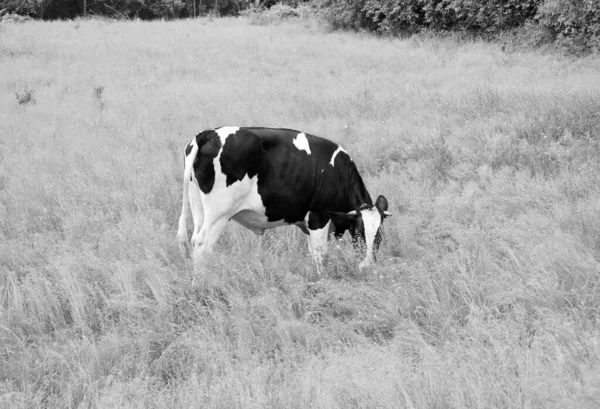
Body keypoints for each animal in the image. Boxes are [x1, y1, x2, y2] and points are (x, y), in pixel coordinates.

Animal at [176, 125, 392, 270]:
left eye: (379, 235)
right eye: (358, 233)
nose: (368, 265)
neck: (337, 172)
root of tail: (207, 134)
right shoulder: (319, 217)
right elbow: (321, 255)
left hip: (199, 208)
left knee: (195, 241)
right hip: (219, 214)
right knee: (202, 246)